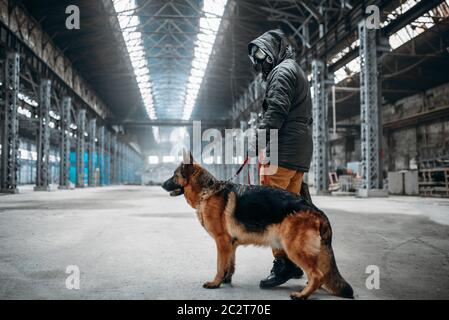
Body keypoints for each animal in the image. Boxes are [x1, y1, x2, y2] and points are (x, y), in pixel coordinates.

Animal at [162, 152, 354, 300]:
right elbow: (229, 264)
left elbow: (219, 265)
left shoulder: (221, 241)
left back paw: (302, 294)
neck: (206, 191)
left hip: (293, 247)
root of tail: (315, 209)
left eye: (174, 175)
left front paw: (215, 283)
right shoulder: (230, 244)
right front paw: (226, 279)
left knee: (317, 275)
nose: (162, 184)